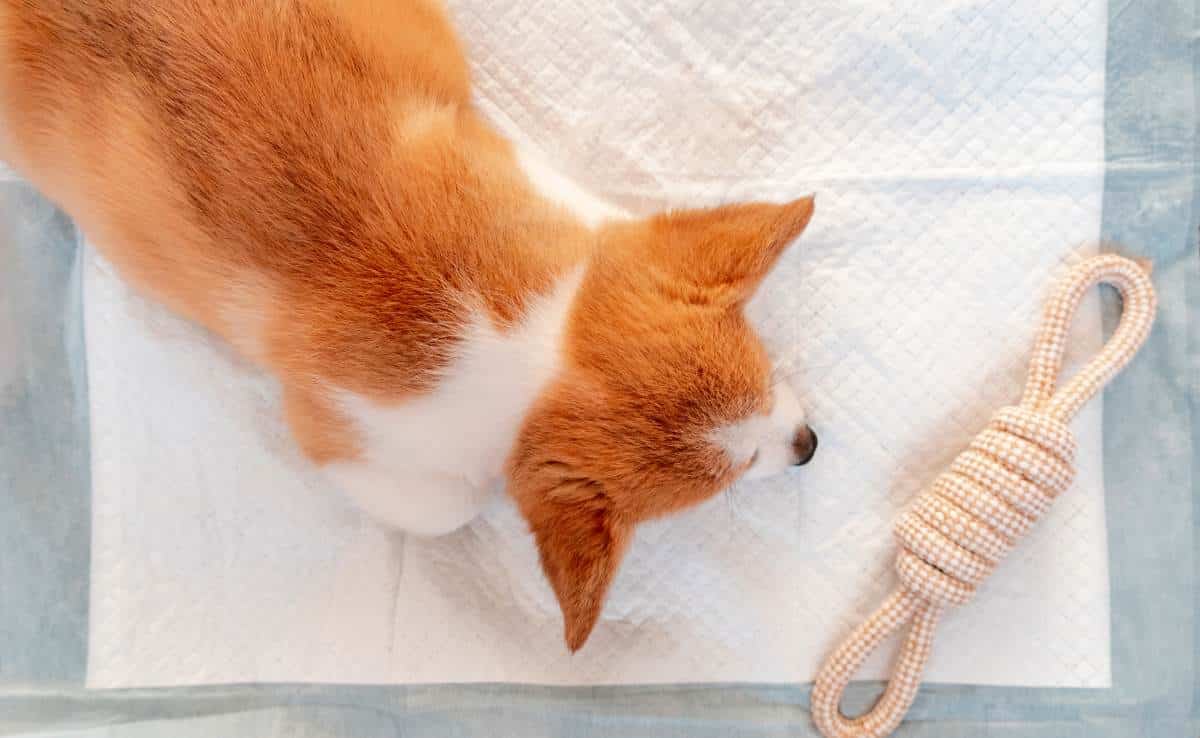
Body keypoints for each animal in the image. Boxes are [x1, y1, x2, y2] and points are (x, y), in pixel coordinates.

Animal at [0, 0, 816, 648]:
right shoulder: (338, 431)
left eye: (769, 373)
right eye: (738, 471)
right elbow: (451, 507)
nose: (810, 445)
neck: (525, 350)